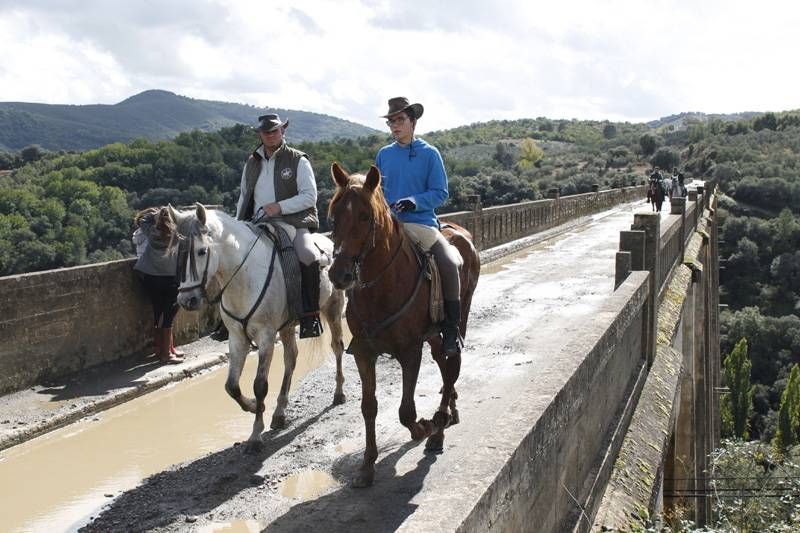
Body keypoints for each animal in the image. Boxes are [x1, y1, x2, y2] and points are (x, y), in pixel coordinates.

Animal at [169, 204, 344, 454]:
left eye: (202, 251)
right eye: (177, 254)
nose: (186, 301)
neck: (242, 278)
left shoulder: (266, 336)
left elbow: (260, 385)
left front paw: (255, 435)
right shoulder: (236, 338)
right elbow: (231, 386)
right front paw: (253, 407)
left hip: (333, 310)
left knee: (337, 347)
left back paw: (339, 394)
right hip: (287, 327)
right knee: (291, 358)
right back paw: (279, 412)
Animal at [326, 162, 478, 486]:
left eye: (365, 216)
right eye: (334, 215)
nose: (339, 274)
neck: (381, 285)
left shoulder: (410, 351)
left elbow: (406, 411)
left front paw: (425, 427)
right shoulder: (364, 353)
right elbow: (369, 407)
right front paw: (367, 467)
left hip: (458, 321)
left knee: (452, 367)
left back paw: (440, 427)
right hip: (434, 335)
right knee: (444, 365)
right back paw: (449, 411)